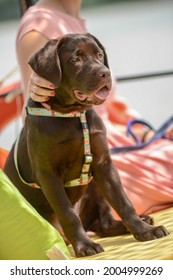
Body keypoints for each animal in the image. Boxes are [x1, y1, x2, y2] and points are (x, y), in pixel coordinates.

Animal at [4, 32, 169, 256]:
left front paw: (144, 230)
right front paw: (85, 245)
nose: (105, 73)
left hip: (94, 183)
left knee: (104, 224)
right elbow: (68, 214)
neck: (73, 114)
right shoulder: (48, 174)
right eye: (75, 59)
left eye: (99, 55)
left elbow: (123, 201)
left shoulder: (104, 164)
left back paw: (141, 221)